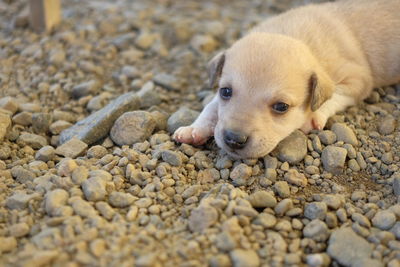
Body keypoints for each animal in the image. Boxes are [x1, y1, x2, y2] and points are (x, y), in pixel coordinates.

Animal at [174, 0, 400, 159]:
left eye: (281, 107)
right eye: (225, 92)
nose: (234, 140)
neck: (292, 33)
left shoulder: (358, 79)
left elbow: (334, 94)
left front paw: (313, 115)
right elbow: (211, 106)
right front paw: (194, 128)